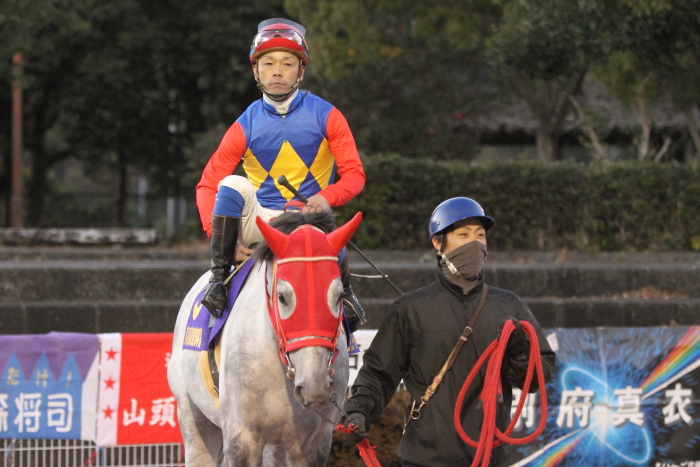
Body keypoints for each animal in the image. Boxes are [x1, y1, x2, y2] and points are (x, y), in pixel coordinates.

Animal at [165, 210, 360, 466]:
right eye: (283, 296)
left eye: (338, 296)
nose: (314, 385)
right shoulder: (241, 437)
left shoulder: (314, 442)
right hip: (192, 414)